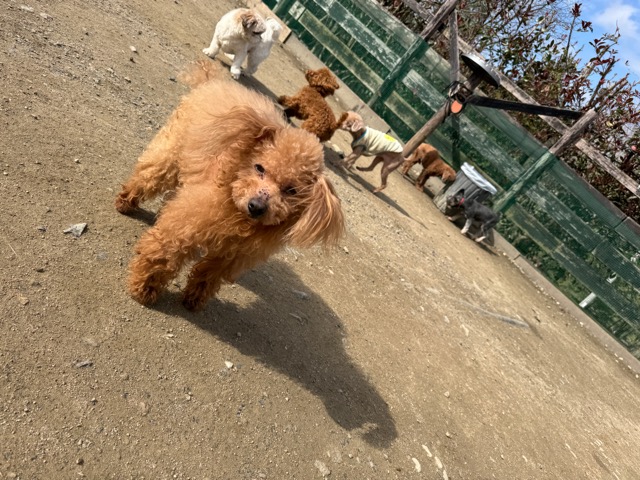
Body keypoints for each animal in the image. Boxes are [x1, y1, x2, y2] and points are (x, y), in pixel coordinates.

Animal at [115, 60, 345, 310]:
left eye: (291, 190)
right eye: (259, 168)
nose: (257, 206)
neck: (237, 214)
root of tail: (212, 81)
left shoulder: (232, 255)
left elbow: (209, 275)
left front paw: (194, 299)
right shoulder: (186, 225)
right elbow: (164, 254)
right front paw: (144, 288)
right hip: (171, 153)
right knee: (149, 175)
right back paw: (125, 201)